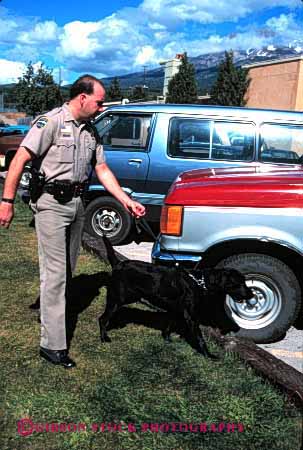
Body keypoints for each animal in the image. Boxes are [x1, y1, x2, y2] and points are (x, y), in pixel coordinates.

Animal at [99, 236, 254, 358]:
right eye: (239, 283)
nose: (252, 294)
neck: (198, 281)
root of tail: (118, 264)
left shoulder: (175, 310)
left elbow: (168, 327)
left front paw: (167, 340)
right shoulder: (191, 316)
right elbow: (200, 338)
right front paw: (208, 355)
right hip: (119, 298)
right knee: (102, 319)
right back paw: (104, 338)